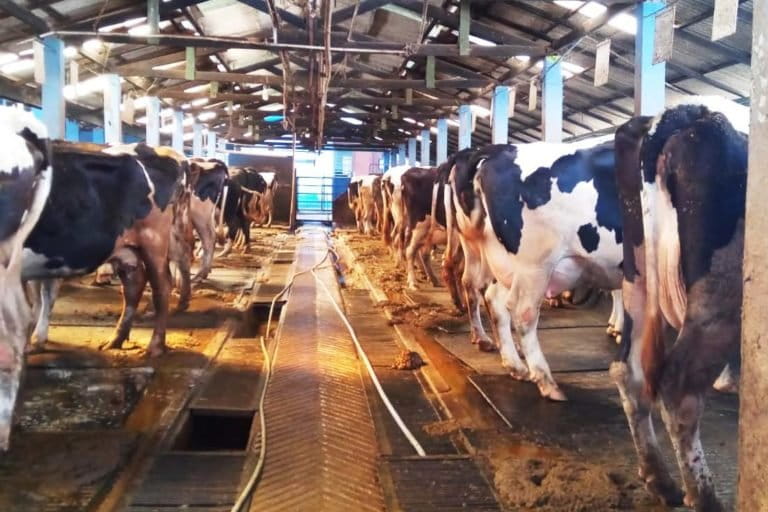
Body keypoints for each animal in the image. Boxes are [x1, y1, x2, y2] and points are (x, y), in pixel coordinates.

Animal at [24, 142, 187, 358]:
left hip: (154, 241)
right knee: (134, 284)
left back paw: (155, 346)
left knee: (161, 286)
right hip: (127, 249)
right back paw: (116, 339)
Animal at [448, 137, 623, 400]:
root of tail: (500, 150)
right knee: (521, 311)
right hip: (534, 263)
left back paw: (512, 363)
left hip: (503, 261)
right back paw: (546, 381)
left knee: (488, 295)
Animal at [609, 103, 747, 510]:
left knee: (628, 372)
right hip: (718, 296)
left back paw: (661, 480)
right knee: (678, 387)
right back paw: (703, 496)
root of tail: (685, 114)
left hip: (637, 279)